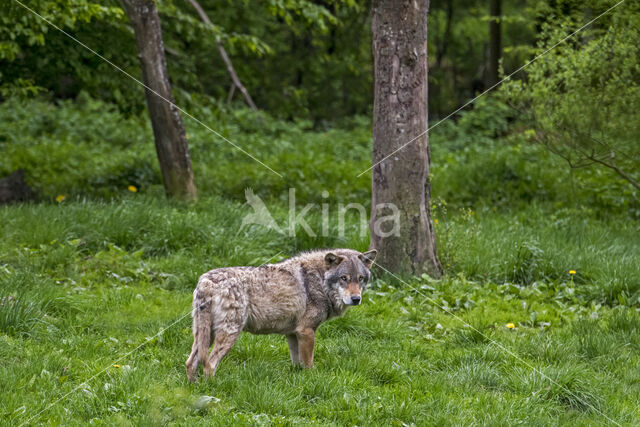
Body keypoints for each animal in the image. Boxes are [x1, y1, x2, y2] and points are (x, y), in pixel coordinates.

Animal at [184, 249, 376, 382]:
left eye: (360, 279)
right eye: (344, 278)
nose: (356, 299)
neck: (319, 281)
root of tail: (206, 282)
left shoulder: (293, 334)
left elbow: (297, 363)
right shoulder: (307, 331)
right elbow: (308, 364)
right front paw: (311, 380)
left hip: (205, 336)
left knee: (190, 362)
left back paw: (194, 389)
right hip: (229, 334)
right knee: (209, 364)